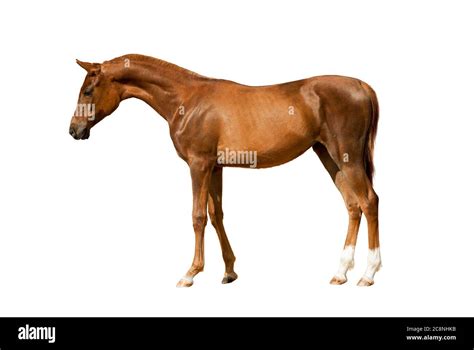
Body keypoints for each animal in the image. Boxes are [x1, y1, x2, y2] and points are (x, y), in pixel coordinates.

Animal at [69, 54, 382, 288]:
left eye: (87, 90)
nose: (74, 130)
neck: (186, 100)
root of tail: (362, 86)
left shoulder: (199, 164)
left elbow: (197, 217)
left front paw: (190, 273)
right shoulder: (215, 167)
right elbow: (216, 214)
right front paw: (229, 272)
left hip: (348, 158)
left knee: (369, 202)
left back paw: (368, 274)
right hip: (329, 157)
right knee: (352, 205)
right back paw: (340, 273)